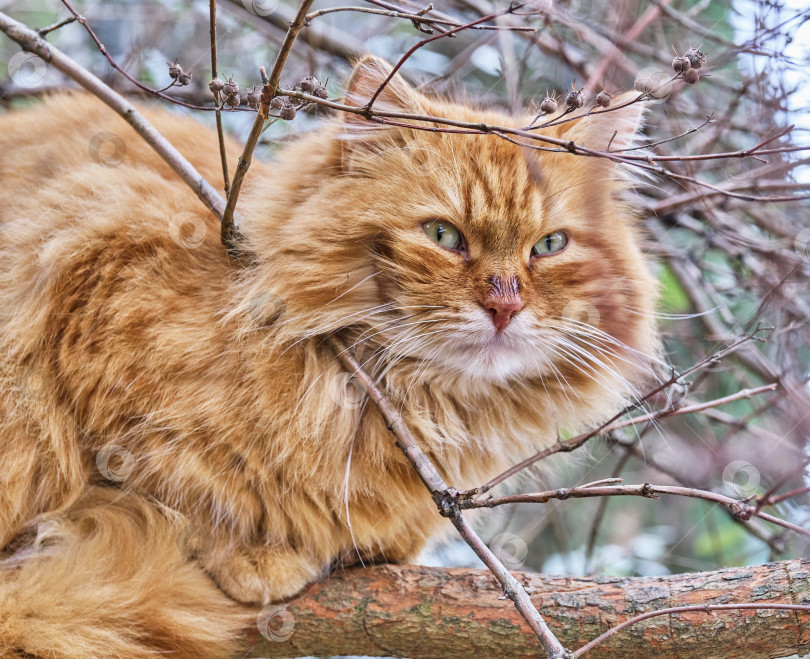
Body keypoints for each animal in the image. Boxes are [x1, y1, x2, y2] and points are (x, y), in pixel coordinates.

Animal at [0, 58, 656, 659]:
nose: (505, 306)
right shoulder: (90, 243)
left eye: (549, 246)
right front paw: (243, 548)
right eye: (444, 236)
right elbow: (164, 483)